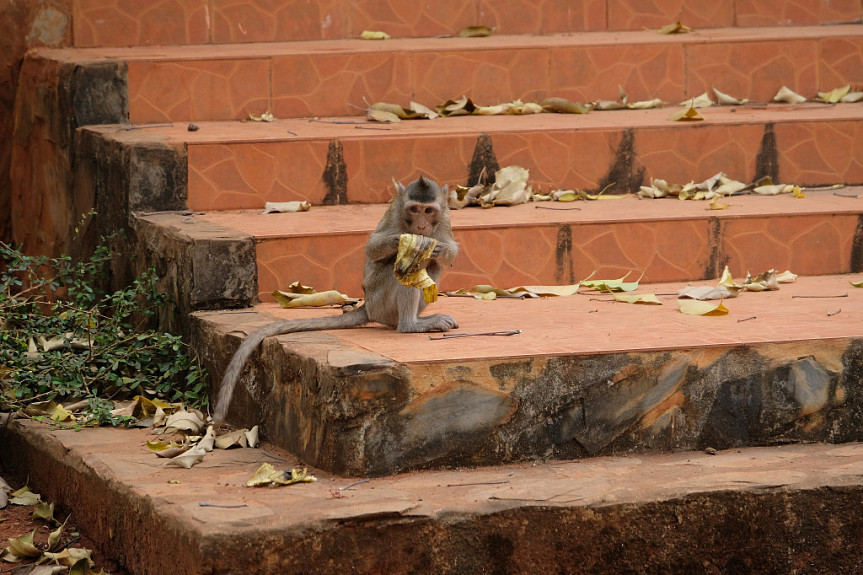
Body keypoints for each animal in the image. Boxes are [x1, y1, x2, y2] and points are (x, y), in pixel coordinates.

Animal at [213, 175, 459, 424]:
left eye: (428, 210)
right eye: (414, 209)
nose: (421, 226)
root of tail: (368, 307)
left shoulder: (445, 218)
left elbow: (450, 251)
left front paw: (438, 248)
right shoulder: (396, 213)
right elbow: (373, 248)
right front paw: (405, 241)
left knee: (433, 266)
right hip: (380, 299)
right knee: (408, 267)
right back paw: (410, 324)